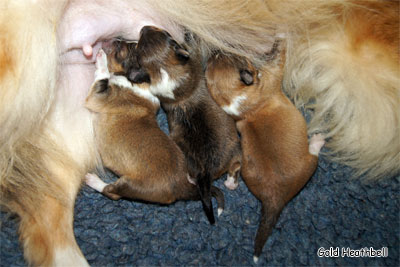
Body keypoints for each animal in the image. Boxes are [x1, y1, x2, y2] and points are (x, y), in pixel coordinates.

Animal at [83, 46, 225, 209]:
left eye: (122, 52)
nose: (113, 42)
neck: (141, 85)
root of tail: (182, 186)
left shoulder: (97, 96)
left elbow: (102, 76)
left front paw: (101, 58)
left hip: (128, 185)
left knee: (112, 192)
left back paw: (93, 180)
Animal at [206, 46, 324, 264]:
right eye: (230, 56)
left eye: (216, 57)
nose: (216, 49)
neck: (235, 99)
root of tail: (274, 199)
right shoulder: (272, 76)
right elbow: (279, 58)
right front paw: (279, 40)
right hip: (310, 164)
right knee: (314, 155)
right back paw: (316, 141)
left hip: (246, 168)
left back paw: (230, 183)